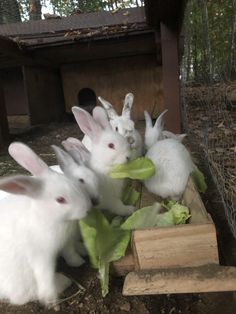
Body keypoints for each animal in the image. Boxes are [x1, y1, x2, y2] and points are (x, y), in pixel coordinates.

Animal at [0, 142, 93, 306]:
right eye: (60, 200)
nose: (88, 208)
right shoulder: (41, 255)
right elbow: (44, 274)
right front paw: (49, 298)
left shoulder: (65, 243)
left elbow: (70, 253)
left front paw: (78, 262)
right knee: (20, 297)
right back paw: (63, 282)